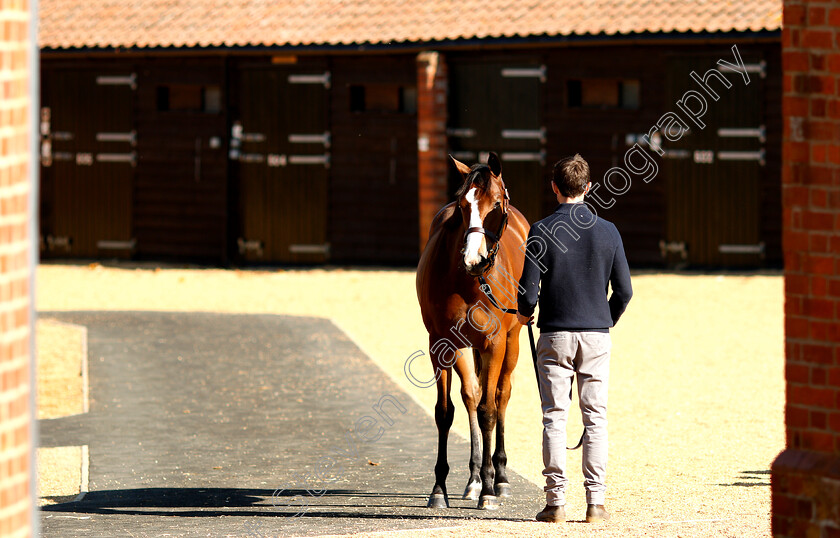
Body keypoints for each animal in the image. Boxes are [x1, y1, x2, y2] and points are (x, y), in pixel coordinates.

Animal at [416, 151, 528, 506]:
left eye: (496, 204)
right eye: (462, 205)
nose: (473, 259)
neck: (469, 282)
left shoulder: (494, 343)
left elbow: (488, 410)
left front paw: (490, 489)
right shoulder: (441, 344)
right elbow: (445, 411)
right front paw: (440, 488)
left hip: (512, 341)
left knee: (501, 395)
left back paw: (498, 477)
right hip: (466, 347)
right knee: (472, 394)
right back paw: (475, 478)